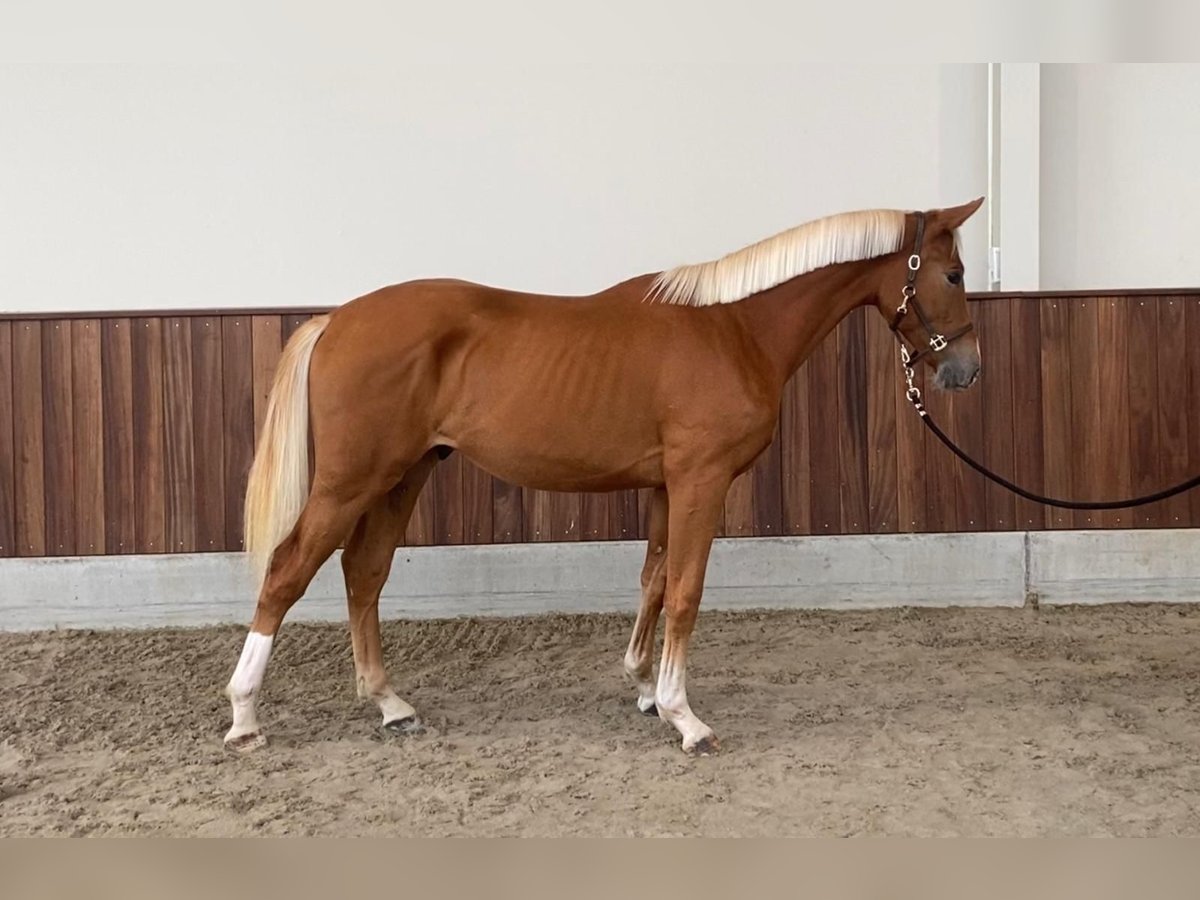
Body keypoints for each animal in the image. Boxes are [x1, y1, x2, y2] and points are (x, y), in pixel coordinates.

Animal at [225, 200, 984, 758]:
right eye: (953, 274)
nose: (966, 369)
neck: (734, 328)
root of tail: (335, 321)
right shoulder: (702, 480)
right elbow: (685, 591)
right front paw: (685, 718)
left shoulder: (666, 486)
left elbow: (653, 580)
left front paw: (646, 690)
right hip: (352, 480)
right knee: (288, 571)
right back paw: (244, 716)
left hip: (402, 476)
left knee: (365, 572)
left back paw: (391, 705)